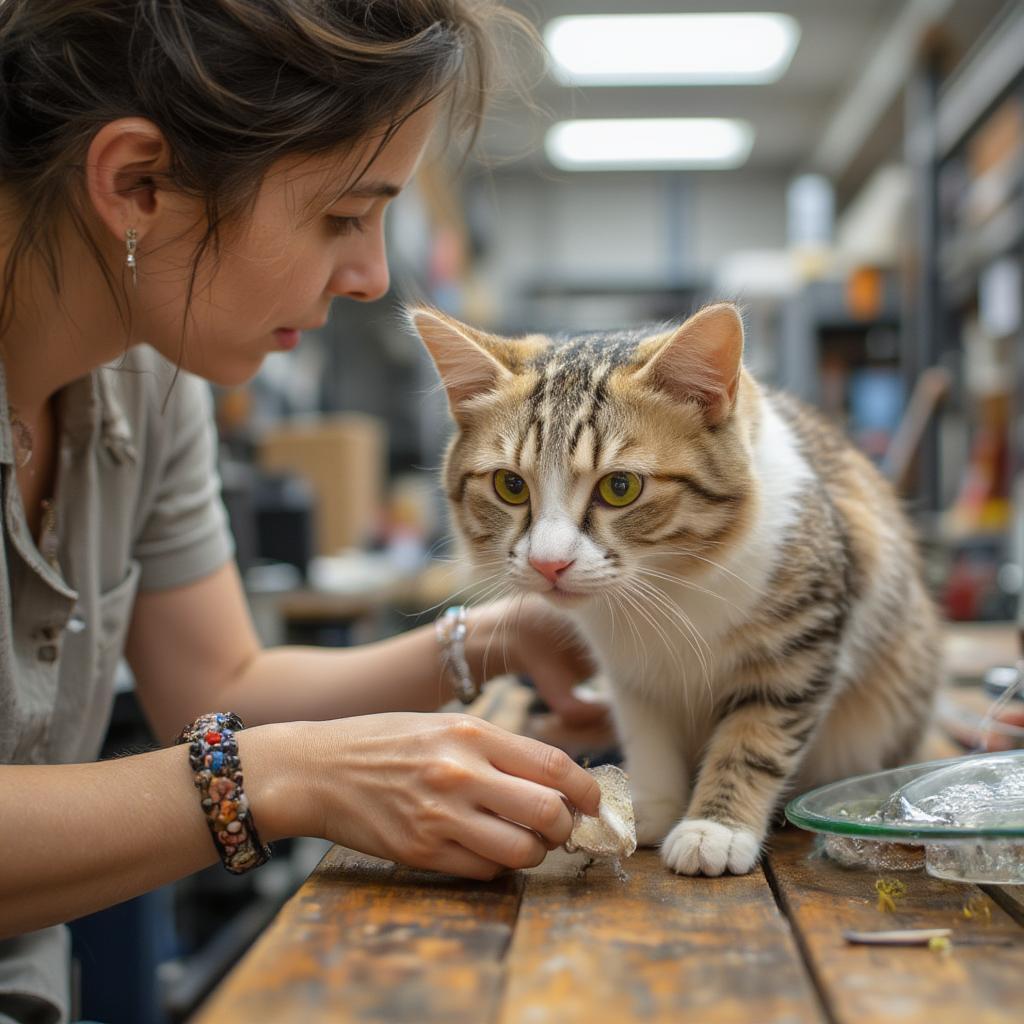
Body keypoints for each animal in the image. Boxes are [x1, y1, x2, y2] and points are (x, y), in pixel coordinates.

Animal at [411, 299, 937, 876]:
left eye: (620, 487)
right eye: (510, 485)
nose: (549, 563)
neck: (667, 588)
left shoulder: (802, 644)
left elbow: (755, 739)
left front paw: (716, 826)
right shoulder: (631, 674)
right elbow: (649, 736)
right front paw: (646, 807)